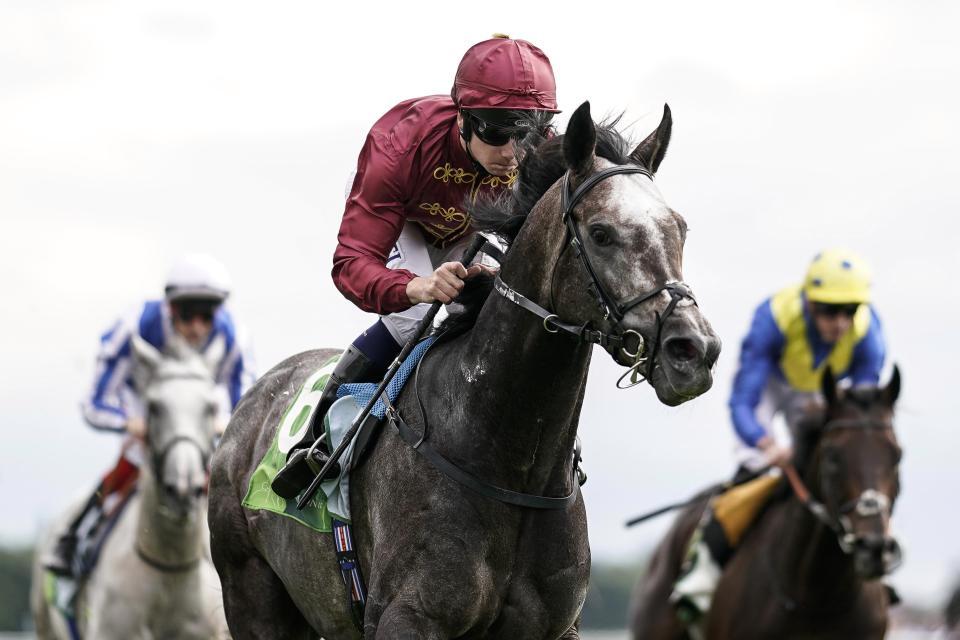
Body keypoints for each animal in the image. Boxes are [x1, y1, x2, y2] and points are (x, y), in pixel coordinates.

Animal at [210, 102, 720, 636]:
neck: (511, 462)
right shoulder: (405, 617)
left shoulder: (556, 626)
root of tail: (255, 396)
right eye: (601, 233)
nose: (694, 349)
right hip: (251, 594)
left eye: (680, 228)